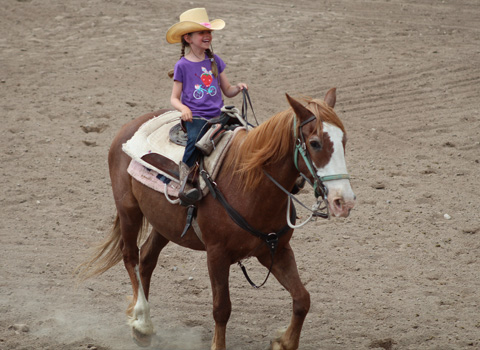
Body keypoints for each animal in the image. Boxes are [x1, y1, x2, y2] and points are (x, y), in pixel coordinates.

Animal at [79, 89, 354, 348]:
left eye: (344, 139)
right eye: (315, 143)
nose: (344, 201)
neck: (250, 184)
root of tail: (130, 126)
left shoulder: (276, 250)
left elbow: (302, 299)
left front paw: (283, 342)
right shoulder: (217, 254)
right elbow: (222, 308)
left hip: (164, 223)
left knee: (147, 258)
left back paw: (141, 326)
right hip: (129, 210)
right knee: (131, 256)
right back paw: (142, 320)